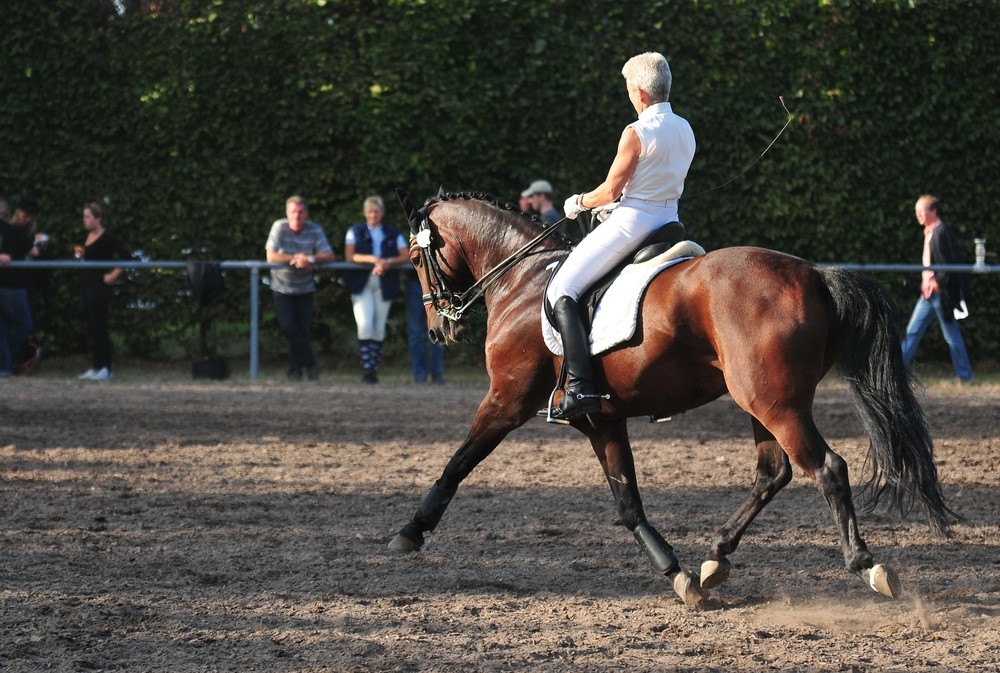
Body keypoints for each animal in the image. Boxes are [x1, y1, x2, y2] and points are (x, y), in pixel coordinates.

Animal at [388, 192, 952, 608]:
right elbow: (628, 503)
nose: (440, 328)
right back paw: (716, 558)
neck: (523, 280)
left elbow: (458, 463)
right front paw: (676, 573)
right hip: (766, 402)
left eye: (415, 257)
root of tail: (813, 273)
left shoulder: (505, 400)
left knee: (828, 468)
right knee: (773, 474)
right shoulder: (602, 420)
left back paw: (867, 566)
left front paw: (411, 531)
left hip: (775, 404)